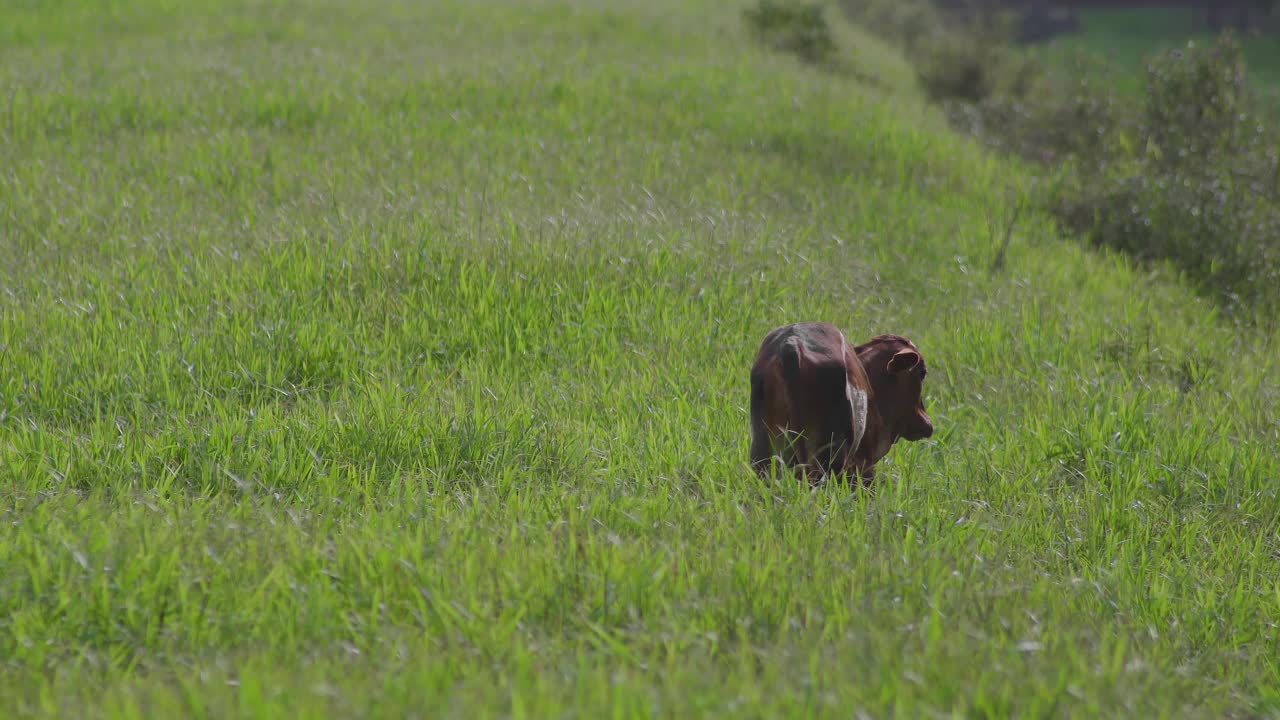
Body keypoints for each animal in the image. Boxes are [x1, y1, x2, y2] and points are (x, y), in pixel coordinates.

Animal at [748, 322, 934, 487]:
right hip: (828, 459)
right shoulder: (863, 465)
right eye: (922, 372)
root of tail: (792, 342)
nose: (927, 423)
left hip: (764, 452)